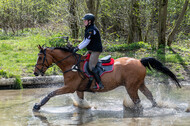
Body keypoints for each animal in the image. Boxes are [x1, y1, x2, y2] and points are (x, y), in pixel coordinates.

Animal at [32, 44, 181, 110]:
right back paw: (156, 106)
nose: (36, 73)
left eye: (40, 57)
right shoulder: (78, 89)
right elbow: (81, 101)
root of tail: (139, 61)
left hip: (131, 87)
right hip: (140, 84)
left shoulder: (69, 87)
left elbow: (51, 93)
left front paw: (37, 105)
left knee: (138, 102)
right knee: (149, 96)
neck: (72, 64)